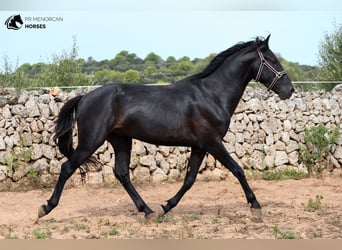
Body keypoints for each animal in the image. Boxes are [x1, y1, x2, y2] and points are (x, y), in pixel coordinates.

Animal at [37, 35, 294, 221]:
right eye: (272, 60)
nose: (289, 90)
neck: (211, 94)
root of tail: (84, 97)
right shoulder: (212, 142)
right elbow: (237, 169)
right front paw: (256, 207)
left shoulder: (200, 146)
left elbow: (189, 179)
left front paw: (166, 207)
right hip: (91, 141)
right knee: (67, 167)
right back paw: (45, 208)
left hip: (121, 140)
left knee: (121, 173)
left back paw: (148, 211)